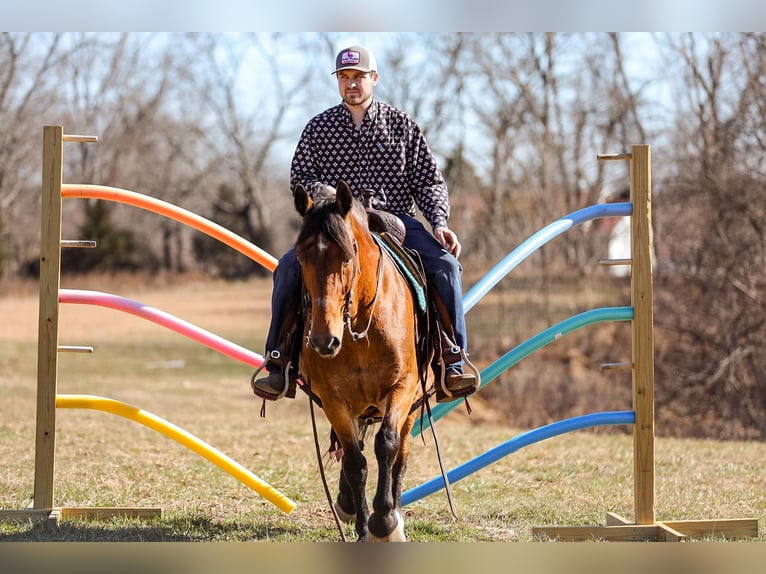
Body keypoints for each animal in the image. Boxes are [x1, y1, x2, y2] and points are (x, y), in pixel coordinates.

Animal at [292, 181, 428, 544]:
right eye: (300, 256)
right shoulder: (333, 398)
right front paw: (364, 524)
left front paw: (384, 522)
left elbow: (387, 445)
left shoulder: (403, 386)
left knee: (400, 456)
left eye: (346, 256)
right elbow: (355, 460)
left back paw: (395, 516)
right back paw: (347, 502)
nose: (323, 340)